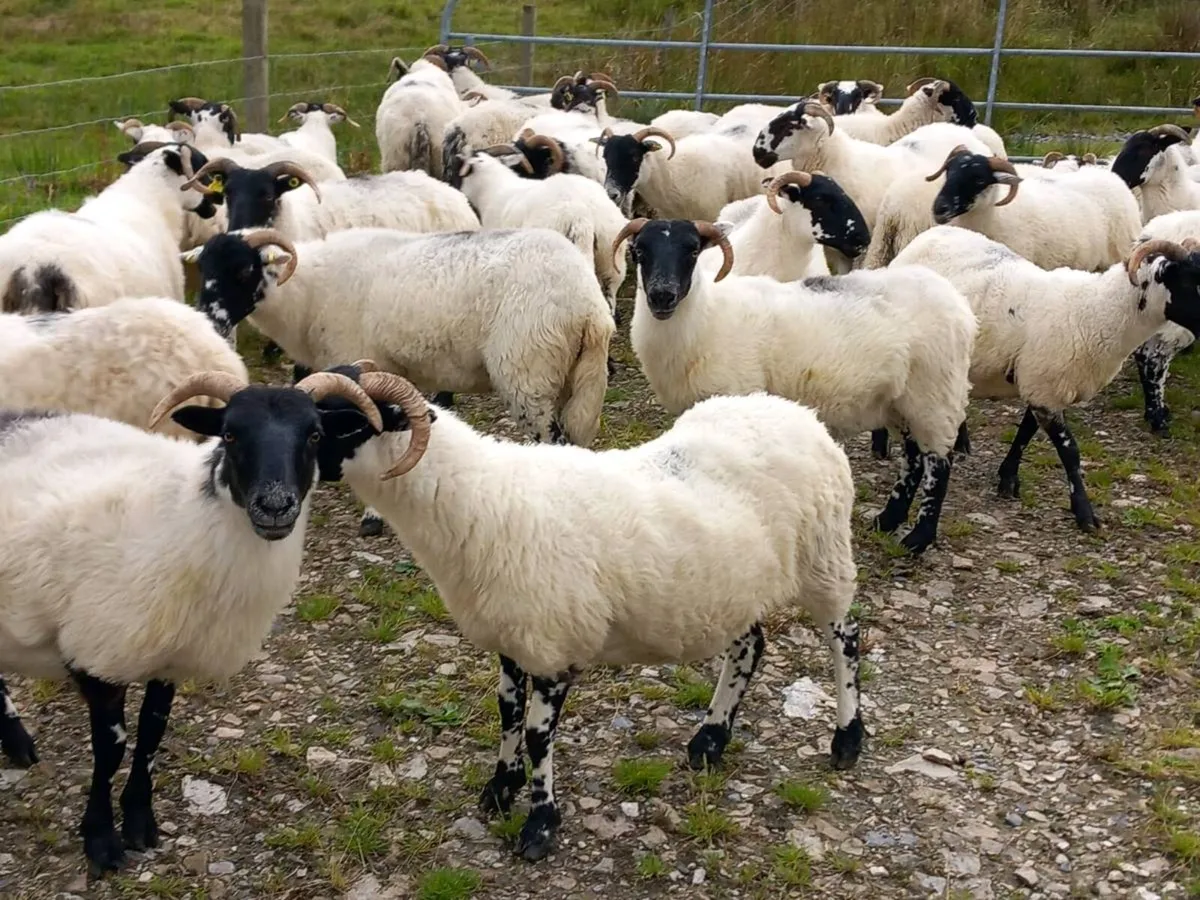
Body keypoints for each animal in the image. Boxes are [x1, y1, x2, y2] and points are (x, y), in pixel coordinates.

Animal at [0, 368, 381, 875]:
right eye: (230, 434)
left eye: (315, 434)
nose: (274, 506)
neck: (185, 519)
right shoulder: (96, 651)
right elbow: (111, 749)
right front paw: (100, 839)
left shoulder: (170, 659)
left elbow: (150, 737)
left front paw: (140, 822)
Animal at [306, 365, 866, 863]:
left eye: (344, 424)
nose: (286, 490)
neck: (476, 498)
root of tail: (800, 414)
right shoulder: (513, 639)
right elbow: (507, 713)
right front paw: (500, 789)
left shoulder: (553, 647)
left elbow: (537, 737)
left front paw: (540, 826)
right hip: (734, 587)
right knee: (750, 647)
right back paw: (709, 741)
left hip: (825, 558)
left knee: (847, 639)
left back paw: (847, 739)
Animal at [616, 217, 976, 555]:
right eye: (639, 252)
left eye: (692, 250)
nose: (662, 296)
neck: (708, 315)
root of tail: (956, 301)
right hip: (902, 399)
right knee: (913, 456)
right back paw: (887, 520)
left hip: (936, 392)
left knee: (938, 461)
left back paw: (919, 538)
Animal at [891, 225, 1200, 531]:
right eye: (1190, 281)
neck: (1094, 312)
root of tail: (933, 232)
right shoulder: (1045, 392)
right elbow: (1070, 452)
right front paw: (1084, 513)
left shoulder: (1041, 386)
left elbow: (1026, 432)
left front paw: (1008, 478)